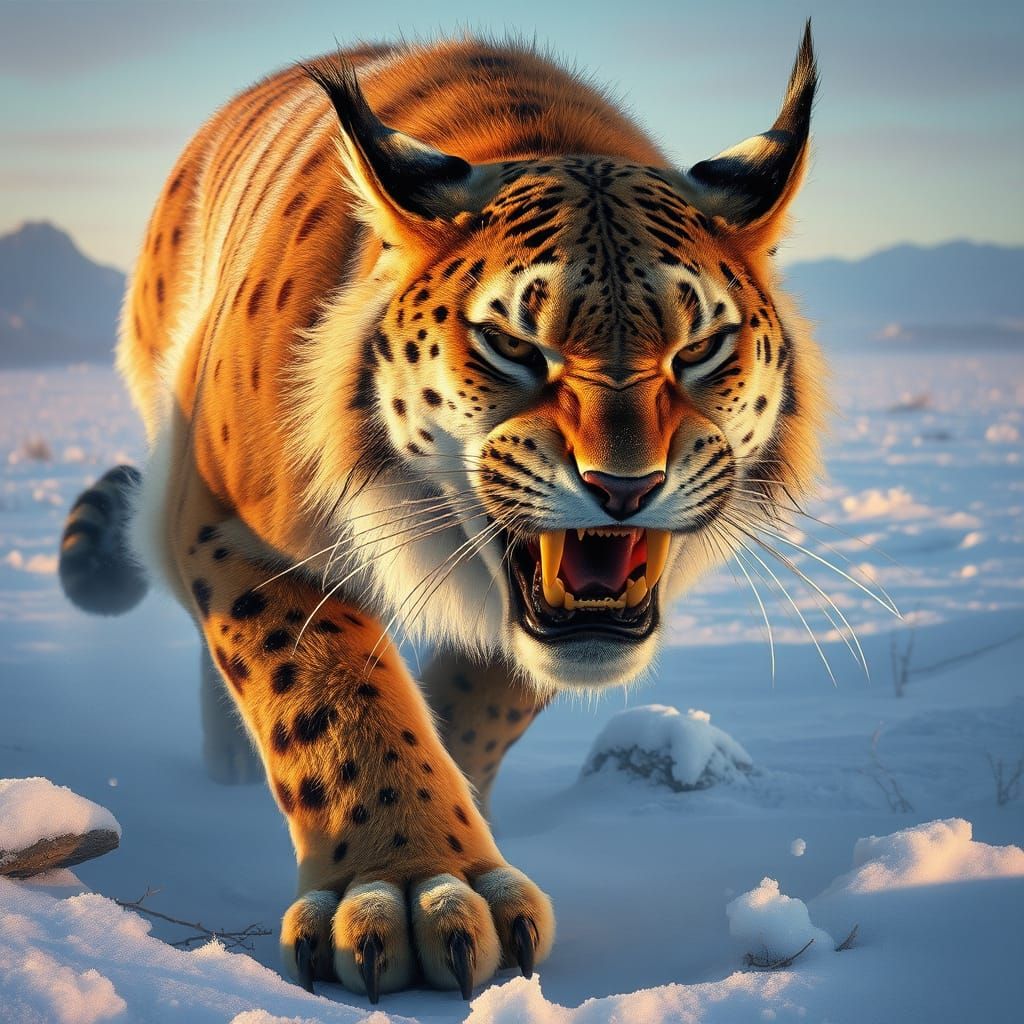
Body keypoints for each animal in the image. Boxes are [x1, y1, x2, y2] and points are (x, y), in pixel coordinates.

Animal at [58, 23, 824, 1003]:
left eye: (700, 348)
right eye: (512, 346)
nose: (624, 487)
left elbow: (482, 702)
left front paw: (464, 835)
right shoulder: (231, 524)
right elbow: (330, 697)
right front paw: (411, 887)